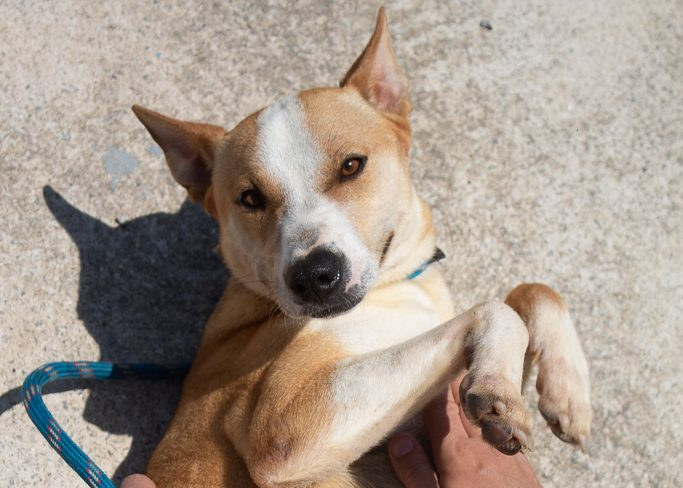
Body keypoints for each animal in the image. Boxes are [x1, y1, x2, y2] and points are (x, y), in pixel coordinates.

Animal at [131, 8, 592, 488]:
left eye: (351, 166)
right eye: (251, 198)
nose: (314, 276)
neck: (397, 286)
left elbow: (534, 290)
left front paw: (568, 393)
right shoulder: (281, 426)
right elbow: (495, 309)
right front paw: (498, 391)